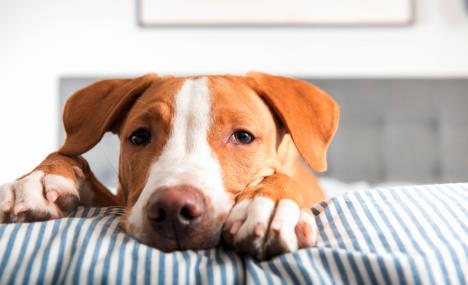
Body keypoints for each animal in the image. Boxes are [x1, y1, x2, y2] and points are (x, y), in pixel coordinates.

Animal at [0, 72, 338, 258]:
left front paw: (269, 206)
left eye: (243, 136)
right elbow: (68, 154)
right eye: (139, 136)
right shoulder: (119, 198)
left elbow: (278, 178)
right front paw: (34, 182)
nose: (174, 209)